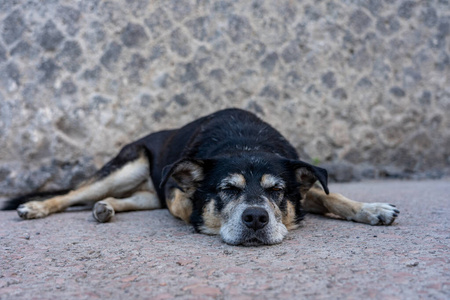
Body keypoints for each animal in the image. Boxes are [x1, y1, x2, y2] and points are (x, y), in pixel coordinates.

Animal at [2, 109, 398, 245]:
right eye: (227, 189)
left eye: (277, 191)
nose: (256, 218)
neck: (245, 143)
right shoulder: (177, 193)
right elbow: (190, 207)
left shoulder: (302, 186)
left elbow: (331, 196)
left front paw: (372, 209)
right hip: (128, 165)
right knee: (73, 194)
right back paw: (35, 207)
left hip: (146, 190)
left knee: (124, 199)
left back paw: (106, 209)